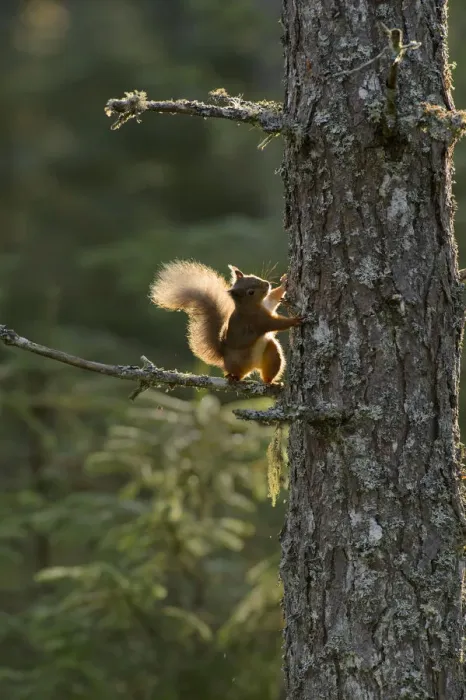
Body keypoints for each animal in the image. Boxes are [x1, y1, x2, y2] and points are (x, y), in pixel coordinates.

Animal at [150, 261, 303, 384]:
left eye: (254, 276)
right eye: (251, 292)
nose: (267, 284)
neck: (251, 306)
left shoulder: (267, 303)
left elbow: (274, 297)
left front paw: (284, 283)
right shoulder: (257, 321)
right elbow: (275, 324)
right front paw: (295, 320)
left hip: (271, 355)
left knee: (267, 374)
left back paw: (272, 383)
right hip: (237, 363)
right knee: (235, 373)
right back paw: (233, 377)